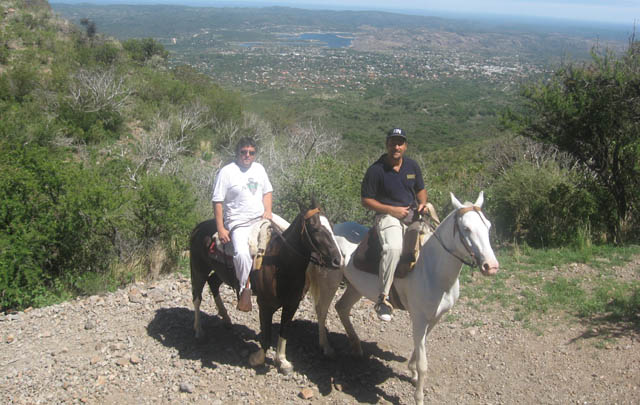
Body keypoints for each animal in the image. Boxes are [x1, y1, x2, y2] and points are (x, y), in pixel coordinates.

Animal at [189, 199, 342, 372]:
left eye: (331, 226)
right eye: (315, 228)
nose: (337, 260)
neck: (281, 264)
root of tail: (198, 227)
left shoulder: (292, 304)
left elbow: (284, 331)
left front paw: (282, 361)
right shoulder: (265, 305)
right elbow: (266, 336)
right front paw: (258, 359)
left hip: (222, 273)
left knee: (213, 283)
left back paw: (226, 319)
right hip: (199, 269)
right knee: (197, 297)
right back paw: (199, 331)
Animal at [308, 192, 500, 404]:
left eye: (488, 226)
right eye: (466, 228)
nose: (491, 266)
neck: (432, 268)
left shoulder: (434, 318)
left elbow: (418, 349)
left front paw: (412, 372)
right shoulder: (419, 319)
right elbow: (423, 363)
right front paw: (419, 396)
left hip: (355, 288)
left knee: (341, 308)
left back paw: (356, 347)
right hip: (330, 282)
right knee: (322, 310)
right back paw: (327, 348)